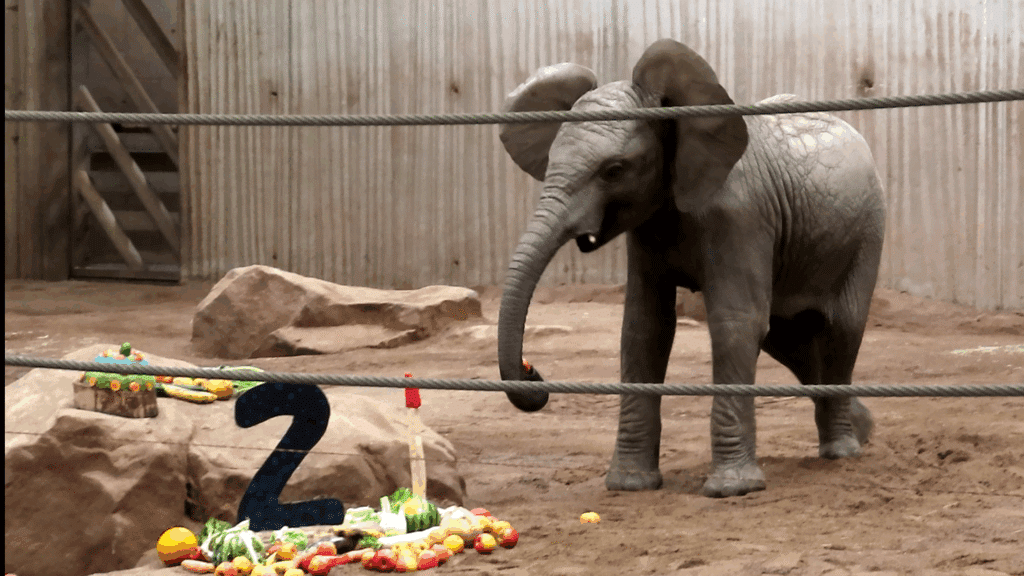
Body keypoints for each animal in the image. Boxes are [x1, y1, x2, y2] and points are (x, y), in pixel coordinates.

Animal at [496, 39, 885, 497]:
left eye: (614, 170)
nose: (532, 372)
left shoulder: (740, 216)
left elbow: (734, 323)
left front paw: (732, 490)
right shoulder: (648, 229)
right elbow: (644, 329)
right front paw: (630, 485)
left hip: (867, 231)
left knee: (840, 329)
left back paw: (843, 451)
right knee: (790, 339)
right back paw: (864, 429)